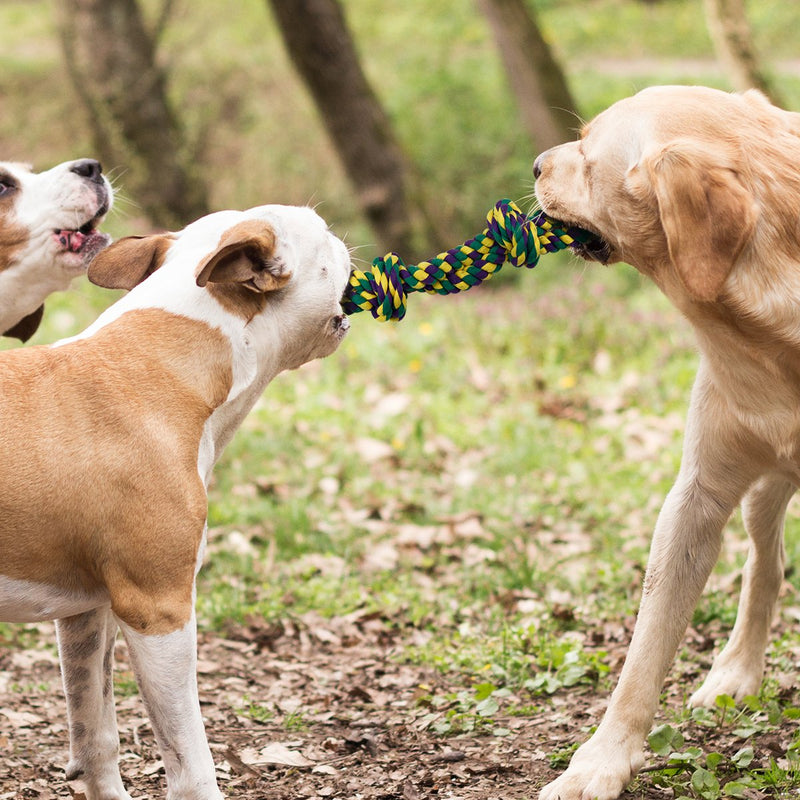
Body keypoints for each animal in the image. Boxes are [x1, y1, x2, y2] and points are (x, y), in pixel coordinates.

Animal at [0, 206, 350, 800]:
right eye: (322, 233)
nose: (346, 238)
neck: (167, 364)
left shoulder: (86, 612)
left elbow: (96, 735)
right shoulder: (158, 610)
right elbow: (190, 761)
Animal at [536, 84, 800, 796]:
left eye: (589, 155)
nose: (536, 164)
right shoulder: (695, 500)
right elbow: (645, 651)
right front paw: (599, 762)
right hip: (764, 488)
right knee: (765, 565)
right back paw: (736, 670)